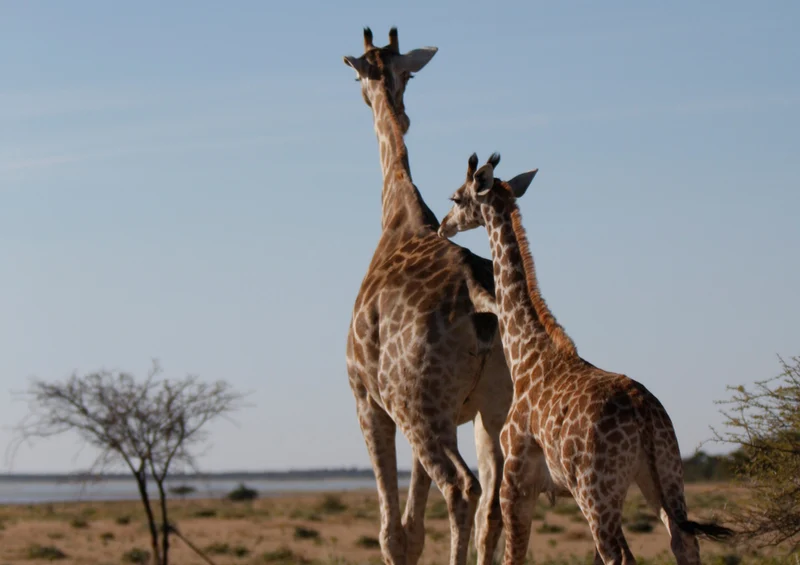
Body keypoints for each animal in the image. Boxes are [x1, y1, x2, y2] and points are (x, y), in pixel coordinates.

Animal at [343, 29, 516, 565]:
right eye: (407, 74)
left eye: (357, 78)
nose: (401, 116)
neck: (398, 215)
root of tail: (478, 297)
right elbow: (414, 527)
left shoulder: (368, 401)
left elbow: (394, 534)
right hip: (493, 409)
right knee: (495, 507)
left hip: (422, 410)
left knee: (462, 489)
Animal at [437, 153, 735, 565]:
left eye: (456, 198)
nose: (441, 226)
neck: (526, 356)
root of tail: (644, 414)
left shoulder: (517, 479)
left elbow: (513, 554)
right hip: (663, 474)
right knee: (683, 542)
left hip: (596, 490)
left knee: (620, 555)